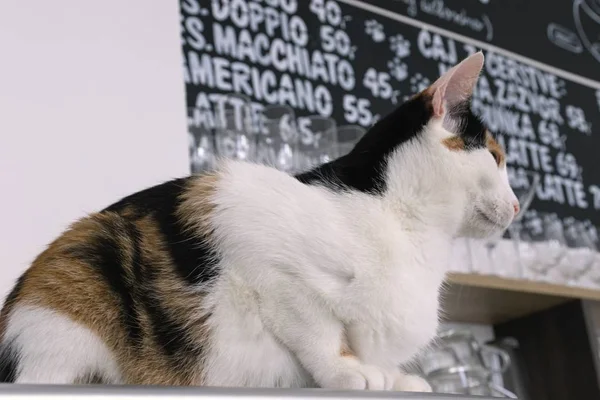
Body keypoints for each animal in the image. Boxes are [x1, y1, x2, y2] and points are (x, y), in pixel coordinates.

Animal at [0, 51, 516, 390]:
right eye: (495, 156)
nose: (516, 207)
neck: (407, 224)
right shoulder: (268, 264)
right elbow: (320, 332)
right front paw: (348, 371)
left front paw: (395, 378)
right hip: (77, 280)